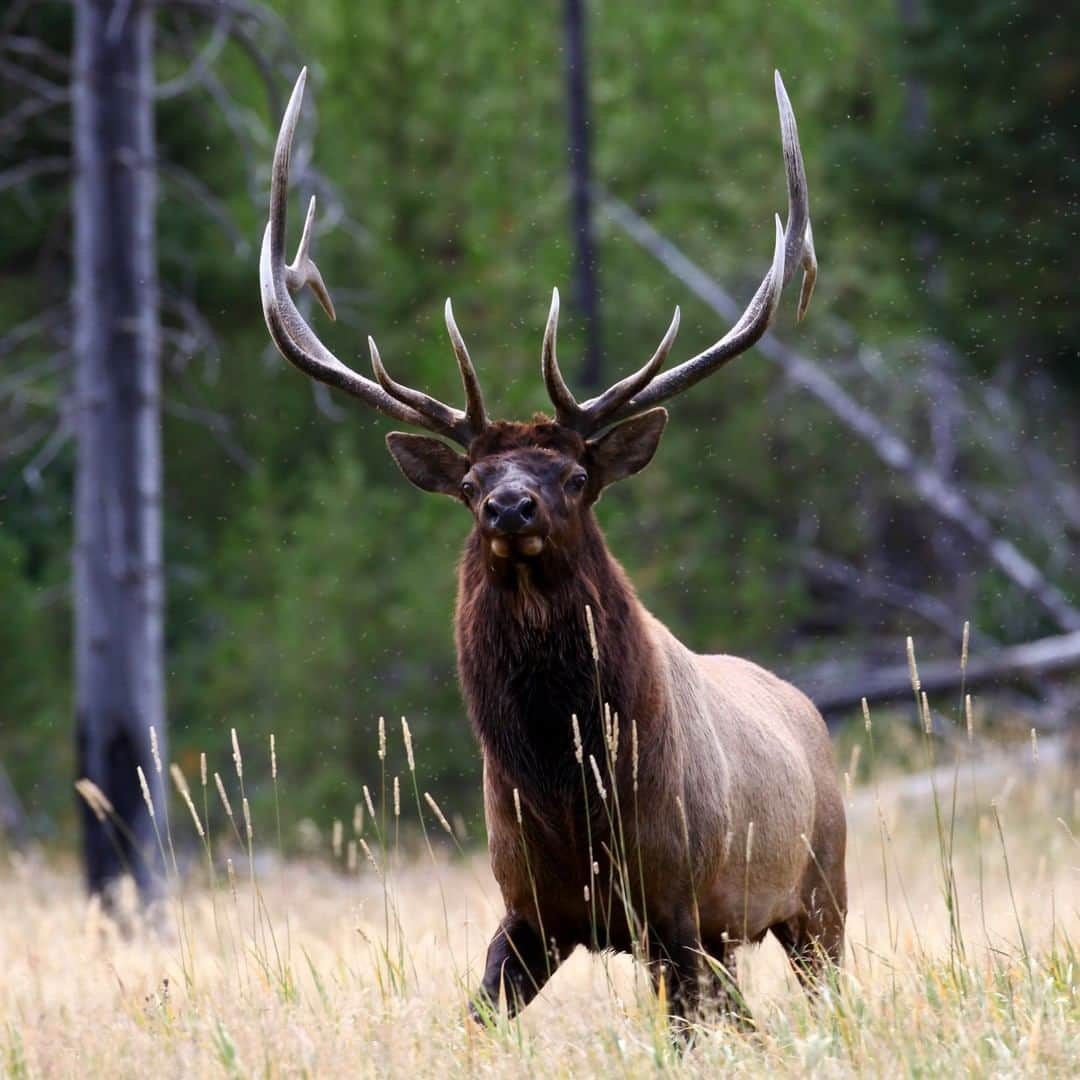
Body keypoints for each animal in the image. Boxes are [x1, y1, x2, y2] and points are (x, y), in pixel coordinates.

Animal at [259, 69, 842, 1028]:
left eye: (574, 474)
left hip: (818, 892)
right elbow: (477, 1020)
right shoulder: (530, 910)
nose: (509, 504)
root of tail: (808, 711)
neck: (573, 796)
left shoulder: (675, 907)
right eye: (469, 482)